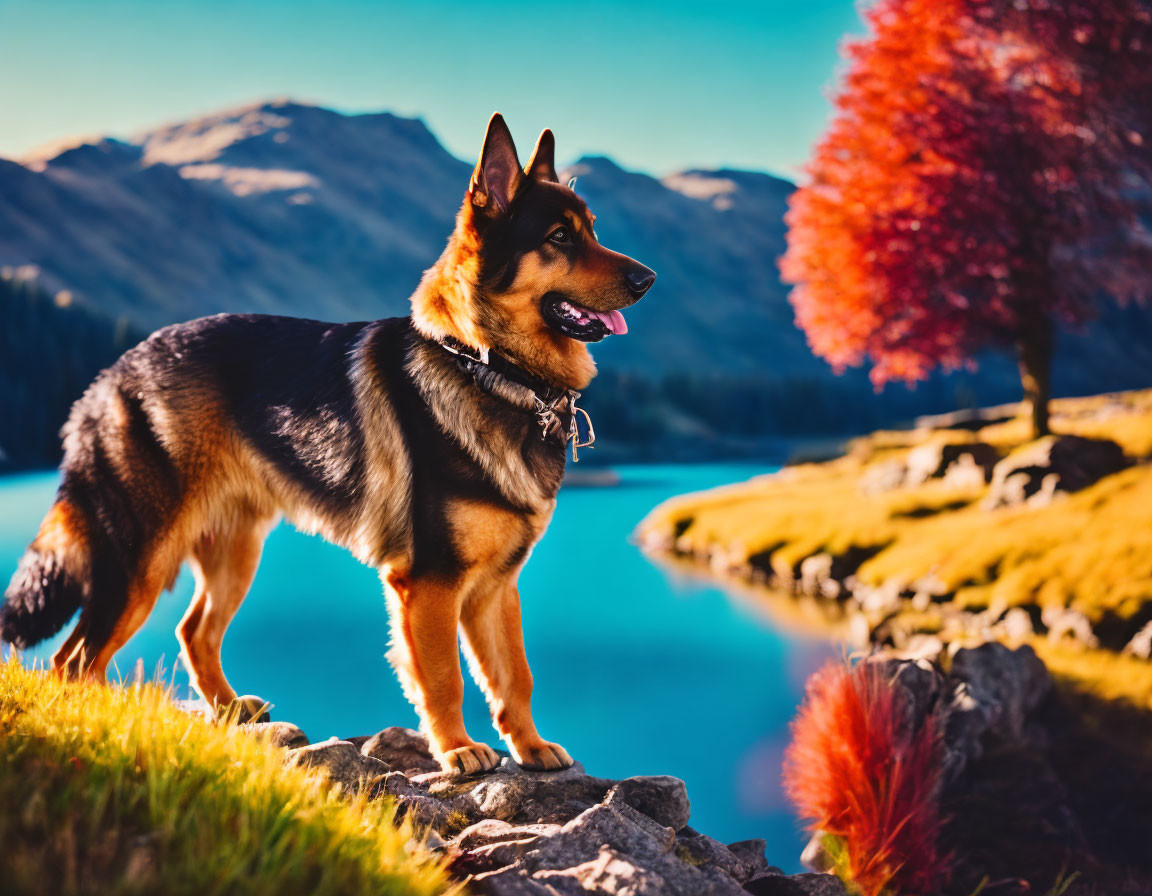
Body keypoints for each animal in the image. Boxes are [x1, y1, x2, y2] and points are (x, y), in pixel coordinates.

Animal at [0, 115, 654, 769]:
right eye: (559, 238)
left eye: (592, 231)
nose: (648, 279)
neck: (484, 364)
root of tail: (106, 379)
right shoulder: (429, 584)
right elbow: (444, 677)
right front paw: (457, 751)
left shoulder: (496, 588)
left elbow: (514, 675)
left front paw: (530, 746)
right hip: (141, 563)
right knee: (73, 661)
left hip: (236, 551)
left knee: (192, 632)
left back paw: (229, 710)